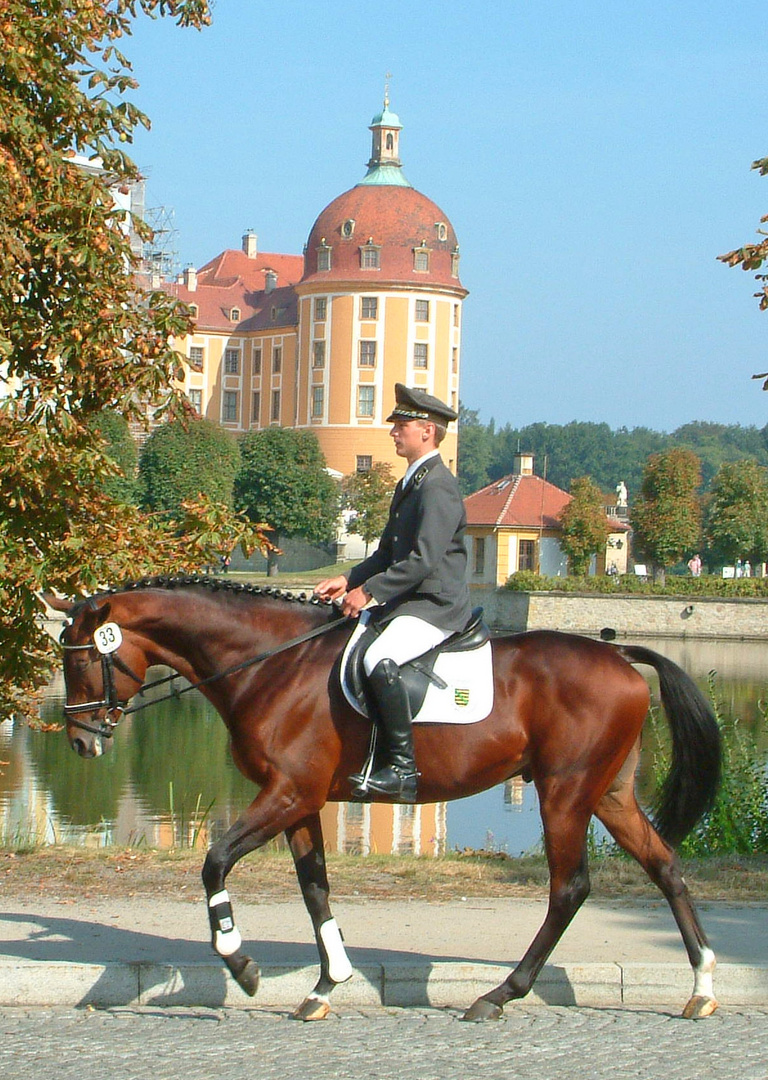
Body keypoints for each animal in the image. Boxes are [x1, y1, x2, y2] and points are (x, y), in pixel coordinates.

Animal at [48, 574, 721, 1019]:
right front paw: (326, 985)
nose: (80, 741)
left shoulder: (288, 792)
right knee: (665, 866)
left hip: (565, 793)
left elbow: (215, 862)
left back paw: (499, 994)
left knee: (570, 887)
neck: (269, 664)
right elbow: (315, 886)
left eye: (80, 662)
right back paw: (703, 987)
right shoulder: (302, 800)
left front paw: (241, 965)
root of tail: (618, 651)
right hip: (609, 794)